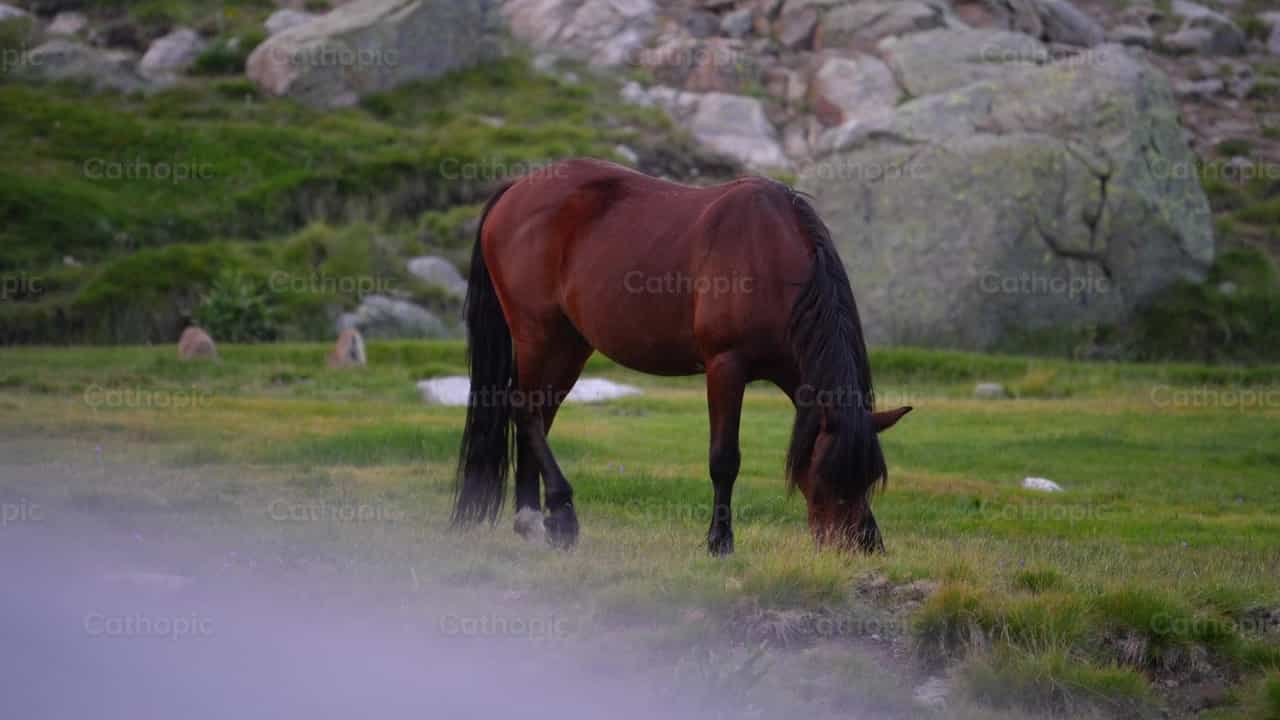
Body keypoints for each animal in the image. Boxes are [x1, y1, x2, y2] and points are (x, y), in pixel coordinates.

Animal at [451, 158, 911, 555]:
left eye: (870, 477)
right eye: (826, 477)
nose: (858, 547)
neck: (769, 256)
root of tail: (515, 190)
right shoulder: (725, 365)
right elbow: (724, 458)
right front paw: (719, 541)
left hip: (570, 344)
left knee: (537, 416)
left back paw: (533, 520)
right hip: (538, 333)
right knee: (526, 411)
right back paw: (557, 516)